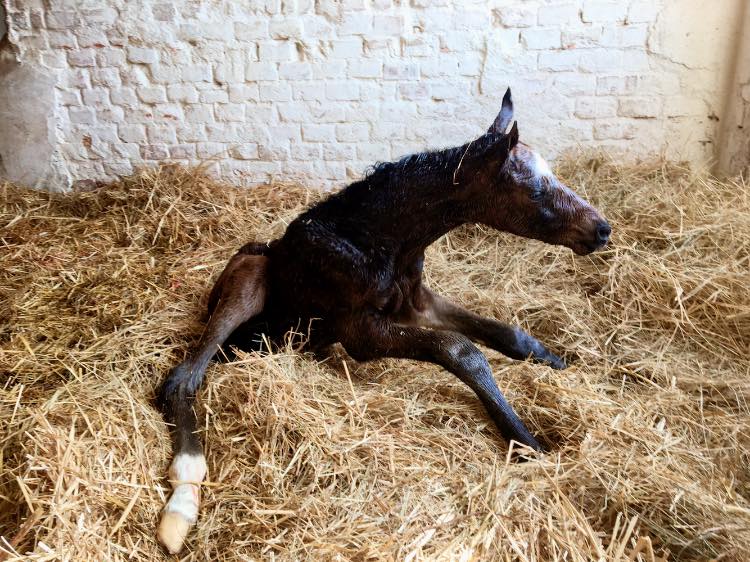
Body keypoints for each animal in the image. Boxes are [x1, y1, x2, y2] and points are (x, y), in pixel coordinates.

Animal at [157, 88, 612, 552]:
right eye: (535, 191)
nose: (601, 229)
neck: (379, 240)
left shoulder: (415, 302)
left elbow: (505, 333)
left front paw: (553, 360)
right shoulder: (361, 332)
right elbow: (461, 350)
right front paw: (525, 438)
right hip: (249, 277)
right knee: (183, 378)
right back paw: (182, 502)